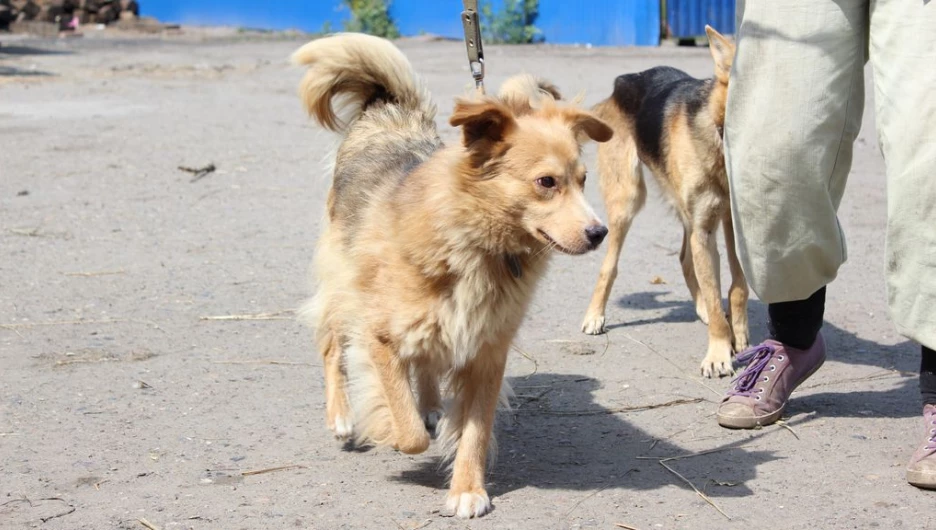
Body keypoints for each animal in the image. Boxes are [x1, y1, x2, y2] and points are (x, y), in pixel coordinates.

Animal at [576, 25, 744, 376]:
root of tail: (620, 84)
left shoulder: (732, 225)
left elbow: (737, 286)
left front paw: (739, 336)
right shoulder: (706, 229)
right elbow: (717, 293)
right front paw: (719, 352)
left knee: (685, 259)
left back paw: (704, 308)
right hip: (628, 203)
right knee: (609, 265)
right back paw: (594, 315)